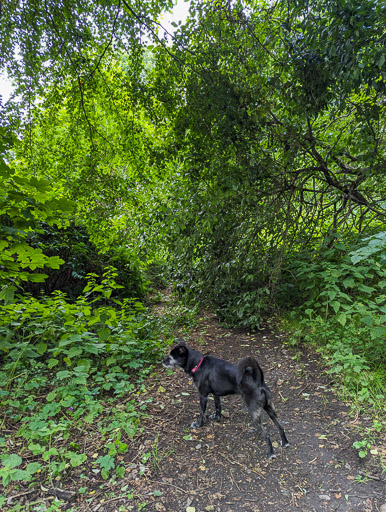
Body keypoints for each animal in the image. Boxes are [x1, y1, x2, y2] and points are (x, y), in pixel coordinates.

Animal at [162, 342, 290, 458]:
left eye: (170, 357)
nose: (162, 361)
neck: (198, 364)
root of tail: (258, 381)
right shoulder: (216, 394)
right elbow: (218, 407)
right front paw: (217, 418)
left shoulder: (203, 395)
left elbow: (202, 412)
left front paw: (199, 424)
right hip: (270, 408)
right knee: (280, 426)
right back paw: (285, 443)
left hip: (255, 414)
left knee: (267, 434)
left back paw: (270, 454)